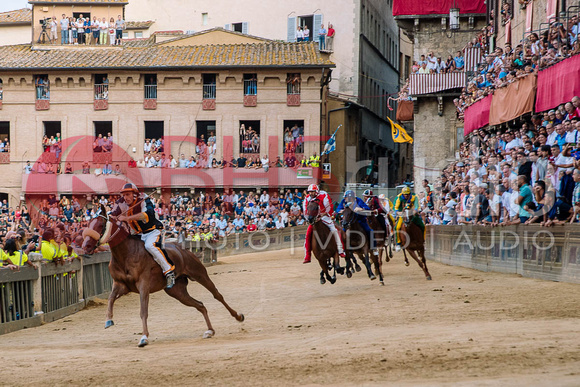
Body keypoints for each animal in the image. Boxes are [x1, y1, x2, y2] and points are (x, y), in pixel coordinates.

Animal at [81, 206, 245, 348]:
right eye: (88, 224)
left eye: (100, 224)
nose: (85, 247)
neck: (126, 254)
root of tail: (183, 249)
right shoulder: (121, 284)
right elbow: (110, 299)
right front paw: (108, 320)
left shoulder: (143, 285)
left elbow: (143, 311)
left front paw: (144, 337)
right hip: (177, 291)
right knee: (200, 305)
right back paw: (210, 331)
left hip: (200, 274)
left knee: (217, 295)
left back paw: (238, 316)